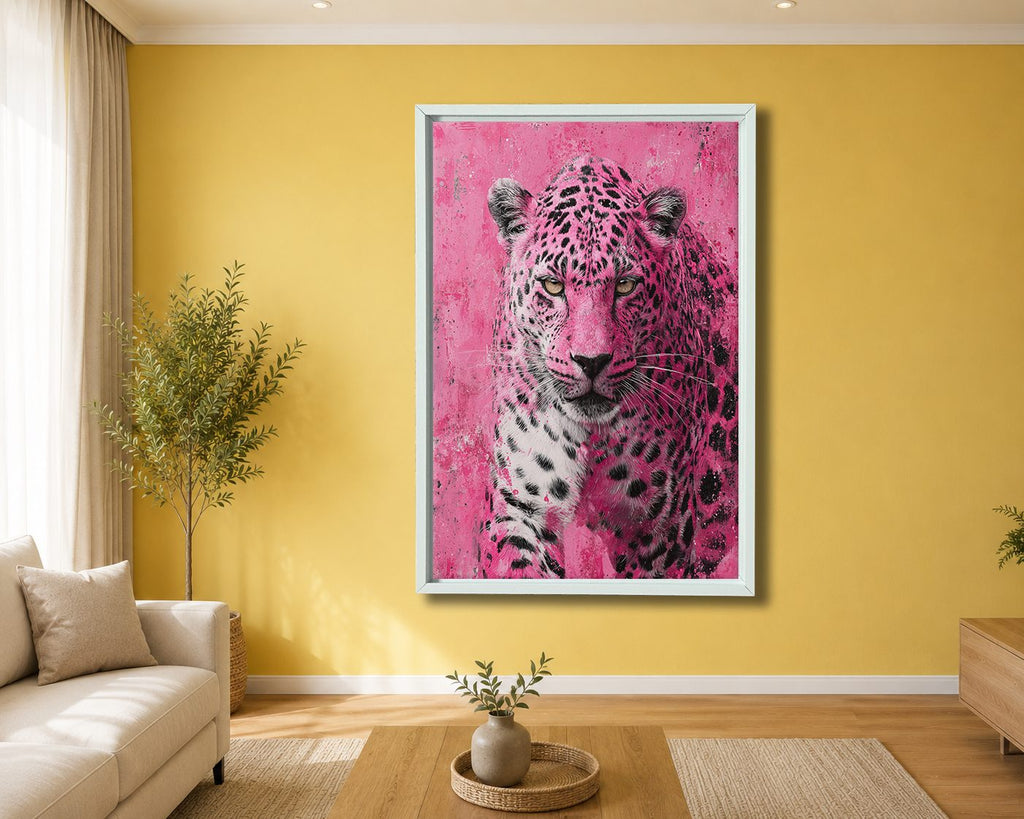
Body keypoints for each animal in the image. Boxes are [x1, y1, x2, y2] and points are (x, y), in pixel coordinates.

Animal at [478, 154, 739, 580]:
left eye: (625, 285)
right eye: (553, 286)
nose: (591, 361)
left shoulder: (661, 529)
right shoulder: (519, 505)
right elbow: (517, 565)